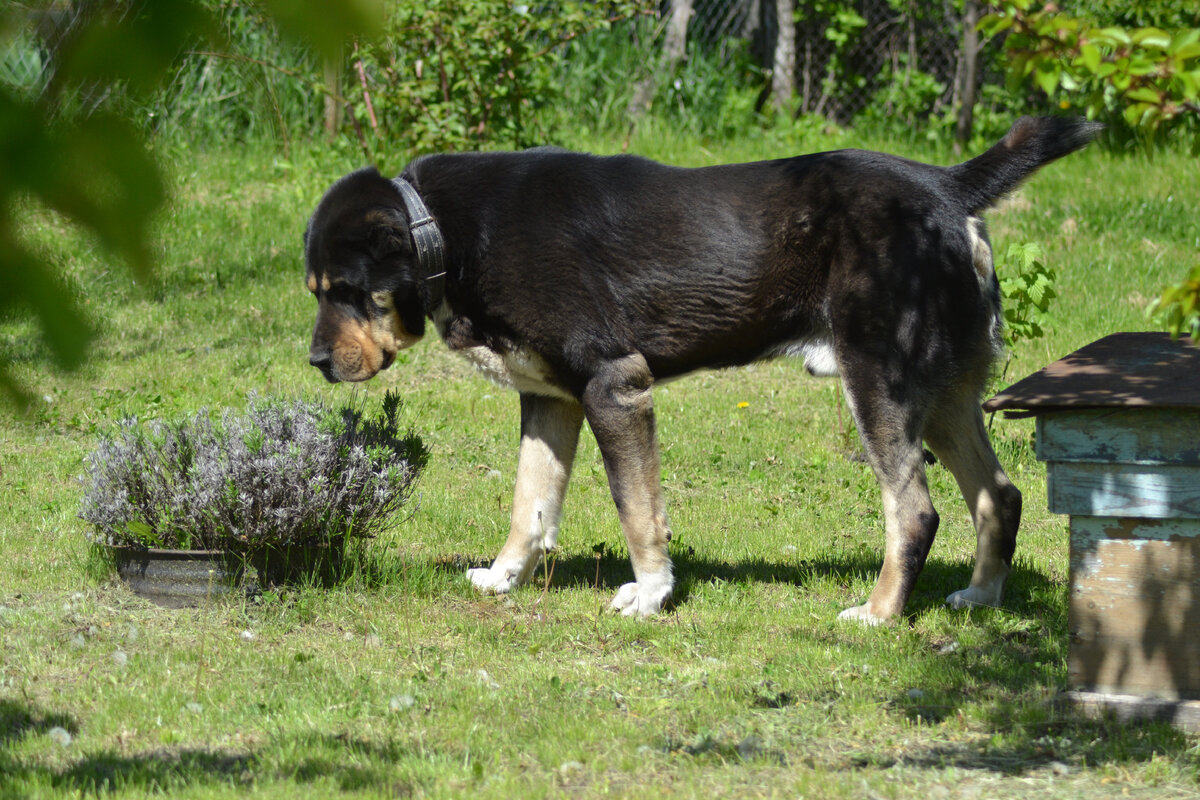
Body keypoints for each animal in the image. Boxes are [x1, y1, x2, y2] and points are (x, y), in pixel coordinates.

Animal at [304, 115, 1099, 623]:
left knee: (916, 511)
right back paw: (982, 598)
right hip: (944, 394)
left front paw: (651, 596)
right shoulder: (551, 400)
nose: (314, 361)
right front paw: (503, 580)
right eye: (317, 291)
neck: (443, 231)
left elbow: (637, 512)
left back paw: (878, 614)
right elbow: (529, 506)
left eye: (346, 290)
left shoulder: (615, 386)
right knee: (1000, 495)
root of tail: (948, 188)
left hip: (881, 384)